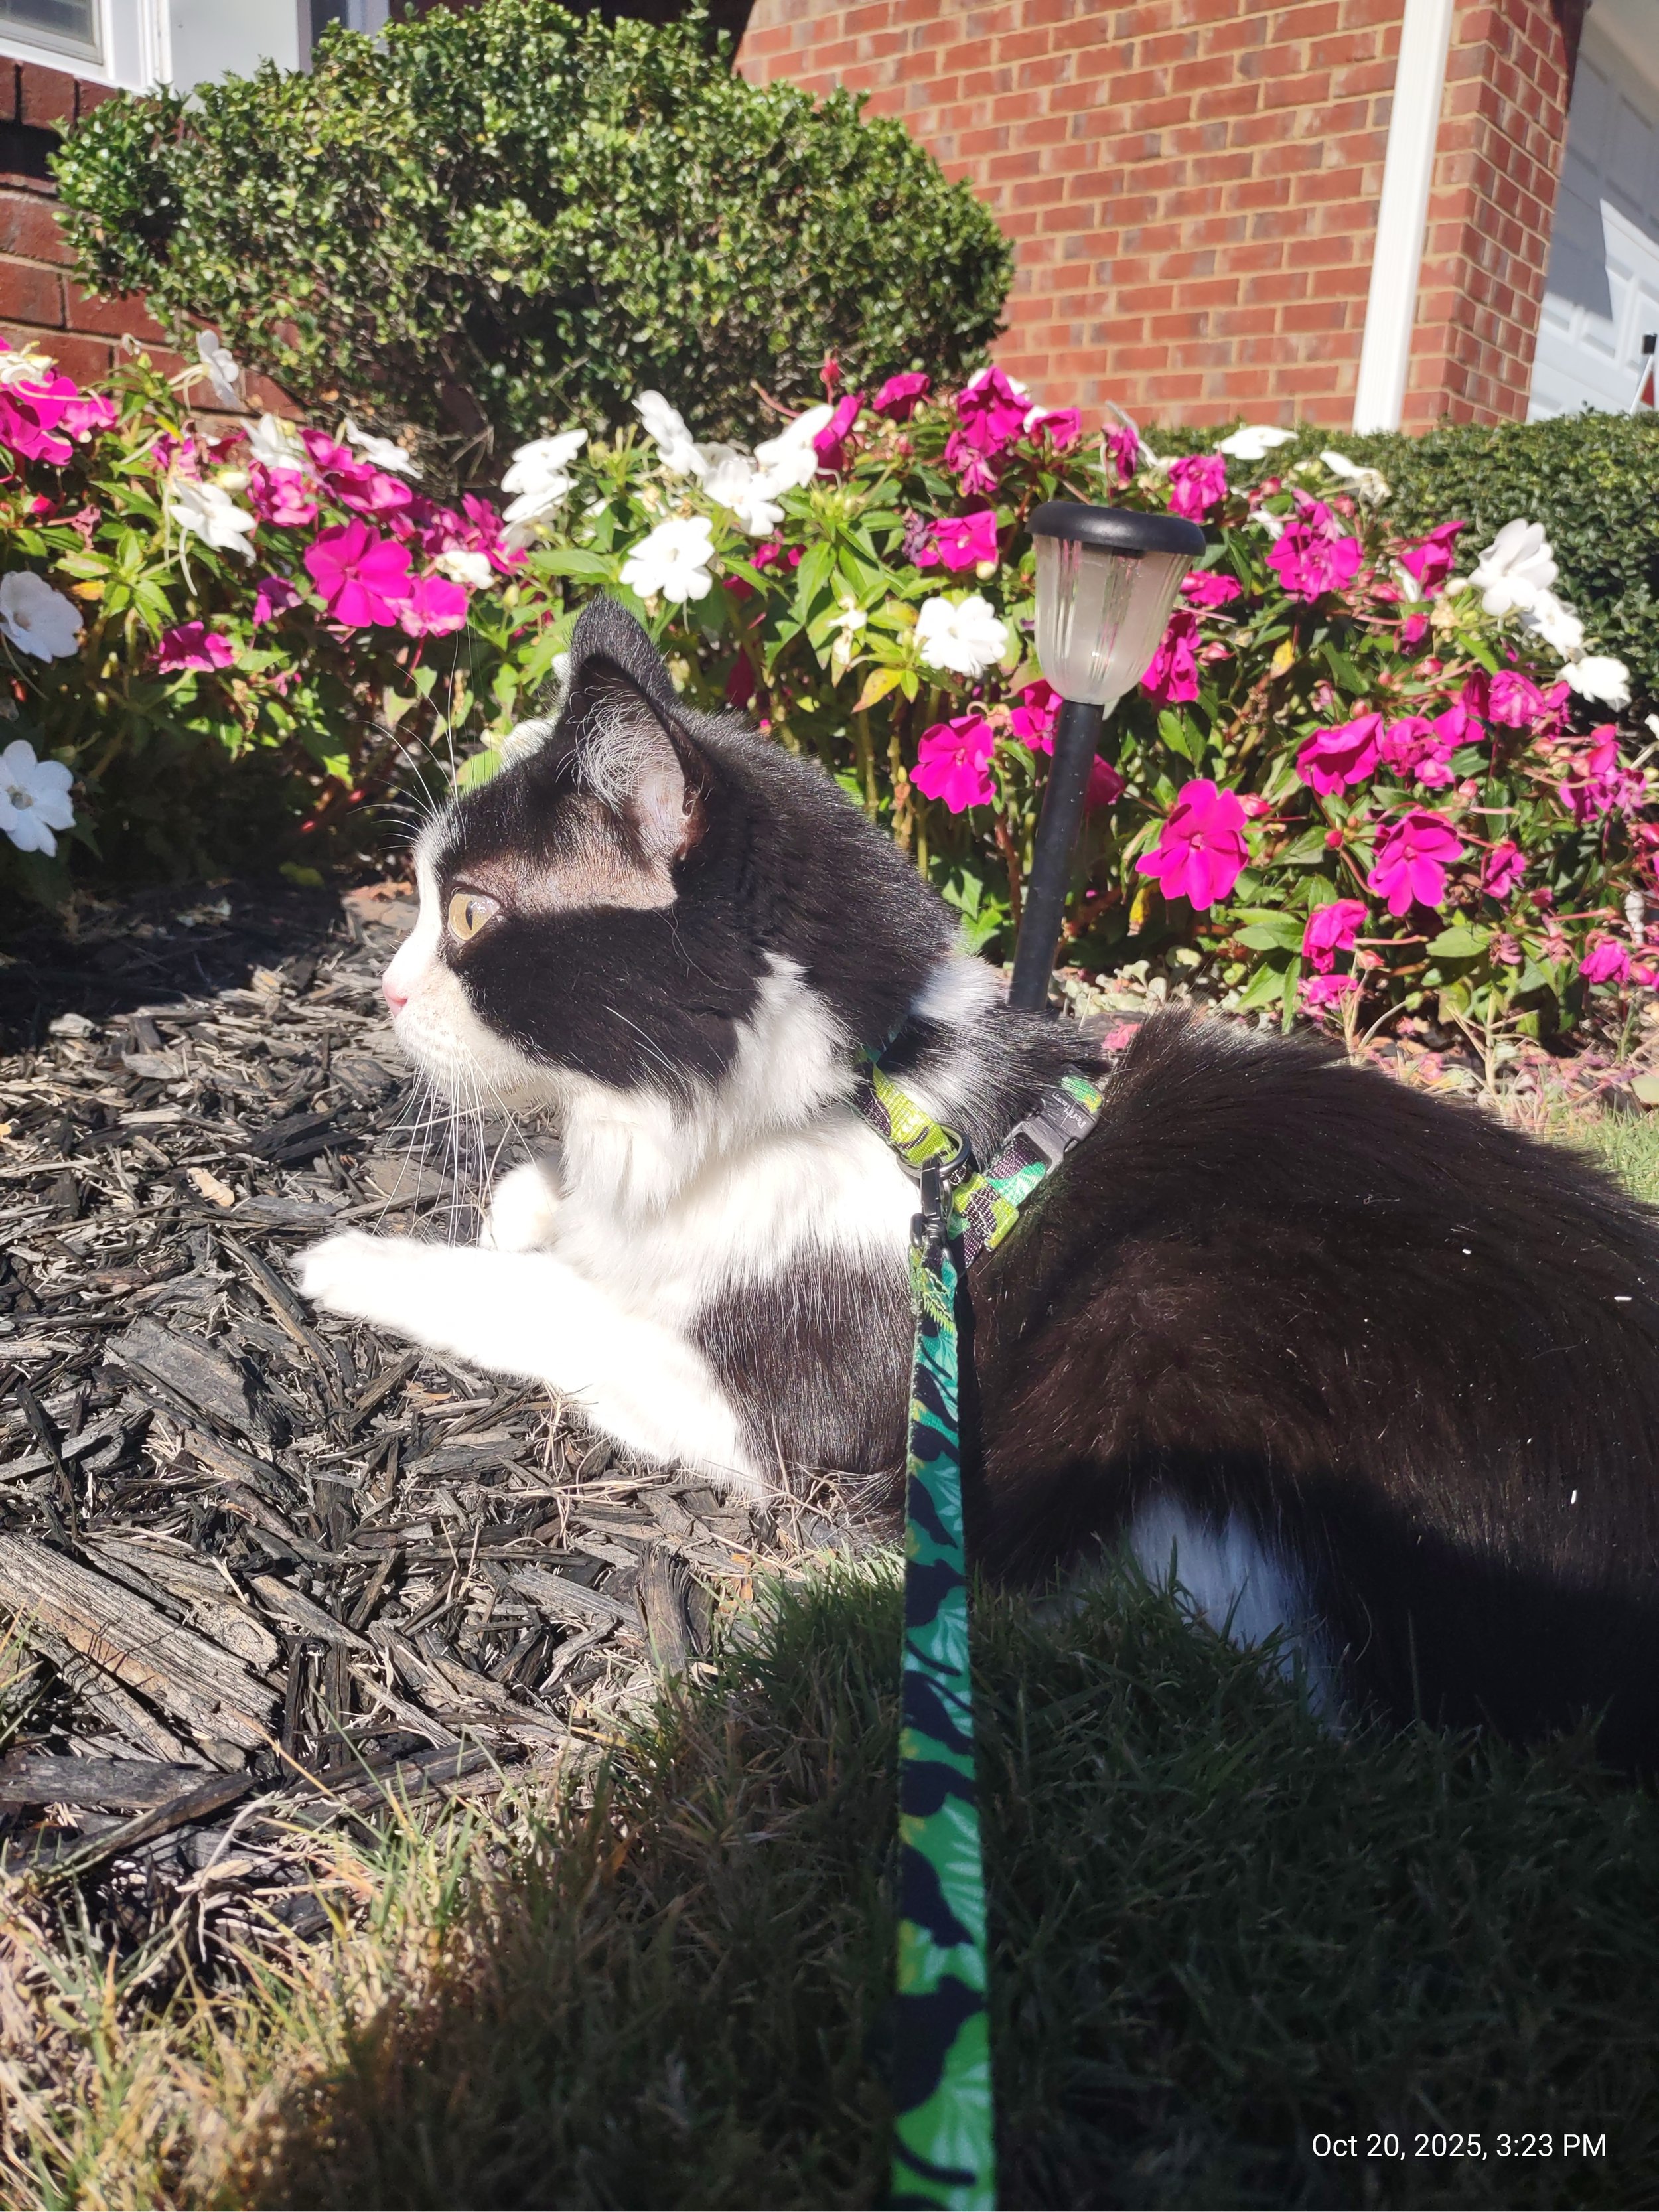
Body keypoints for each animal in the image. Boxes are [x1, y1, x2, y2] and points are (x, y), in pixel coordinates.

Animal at [300, 594, 1659, 1763]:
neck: (874, 1089)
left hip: (1174, 1315)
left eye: (470, 918)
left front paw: (353, 1260)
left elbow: (561, 1307)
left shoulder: (786, 1398)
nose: (384, 994)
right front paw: (537, 1205)